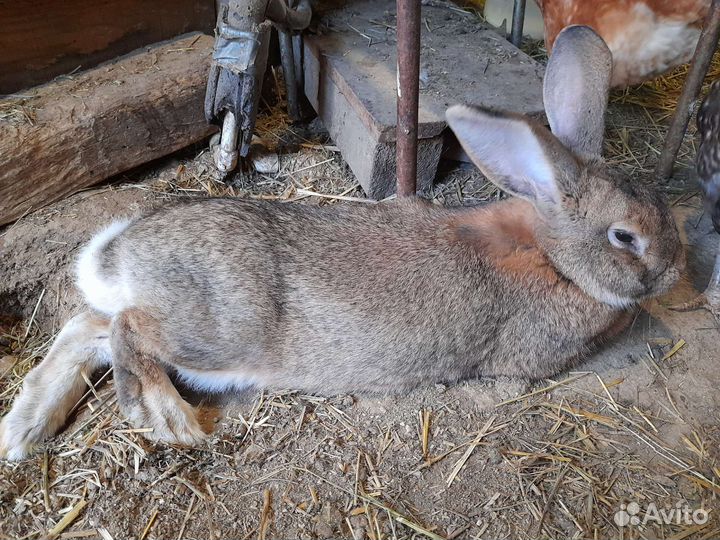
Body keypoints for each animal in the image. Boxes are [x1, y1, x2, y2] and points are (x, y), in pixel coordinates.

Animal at [0, 25, 684, 461]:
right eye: (625, 236)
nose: (676, 270)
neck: (553, 256)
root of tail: (122, 258)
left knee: (85, 329)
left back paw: (23, 431)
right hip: (217, 329)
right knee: (126, 331)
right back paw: (166, 419)